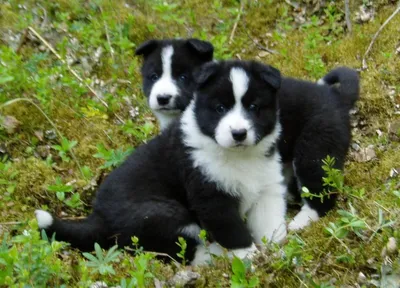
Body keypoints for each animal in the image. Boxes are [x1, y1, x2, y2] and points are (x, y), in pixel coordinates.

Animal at [33, 60, 288, 266]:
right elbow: (234, 232)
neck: (238, 156)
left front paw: (278, 251)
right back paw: (214, 255)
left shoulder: (267, 187)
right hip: (160, 213)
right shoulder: (211, 197)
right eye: (220, 108)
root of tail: (98, 218)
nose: (239, 133)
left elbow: (270, 223)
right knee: (182, 251)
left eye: (253, 107)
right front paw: (250, 257)